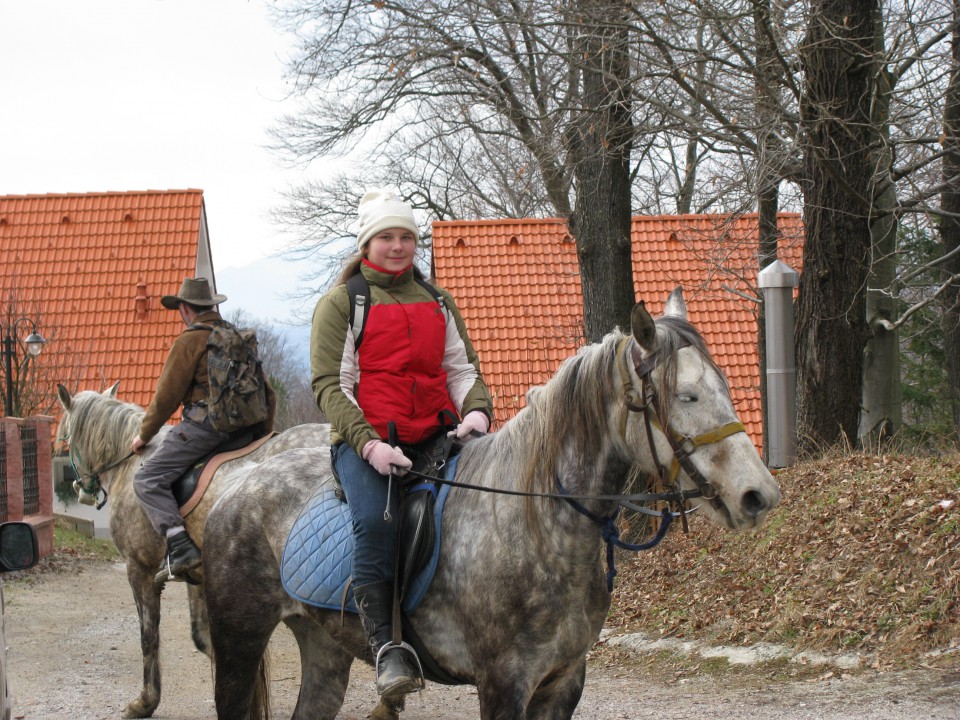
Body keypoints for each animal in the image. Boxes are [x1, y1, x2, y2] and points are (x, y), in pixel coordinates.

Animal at [54, 388, 330, 720]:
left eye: (66, 437)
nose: (81, 490)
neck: (132, 465)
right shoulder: (198, 578)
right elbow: (206, 641)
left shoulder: (139, 570)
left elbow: (148, 636)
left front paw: (144, 702)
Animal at [202, 288, 780, 720]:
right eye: (686, 396)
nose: (759, 495)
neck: (537, 525)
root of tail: (239, 481)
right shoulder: (503, 682)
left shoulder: (563, 681)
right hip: (238, 643)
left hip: (323, 645)